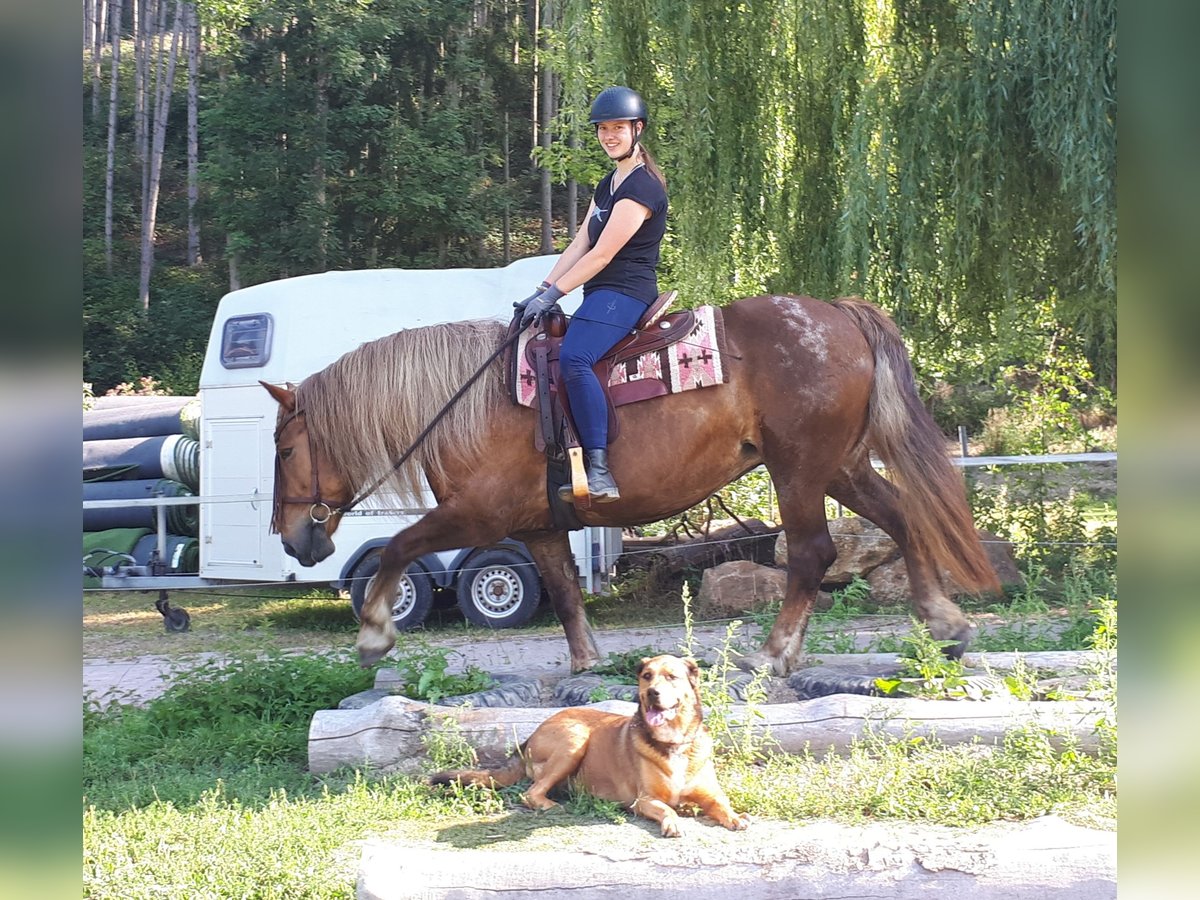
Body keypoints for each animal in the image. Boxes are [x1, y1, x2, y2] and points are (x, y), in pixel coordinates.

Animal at [263, 294, 998, 676]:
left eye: (286, 447)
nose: (293, 538)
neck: (464, 402)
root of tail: (841, 313)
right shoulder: (538, 525)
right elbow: (563, 591)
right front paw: (587, 665)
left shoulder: (478, 514)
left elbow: (396, 547)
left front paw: (373, 635)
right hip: (839, 466)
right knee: (901, 518)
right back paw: (945, 626)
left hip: (798, 470)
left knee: (814, 553)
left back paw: (773, 653)